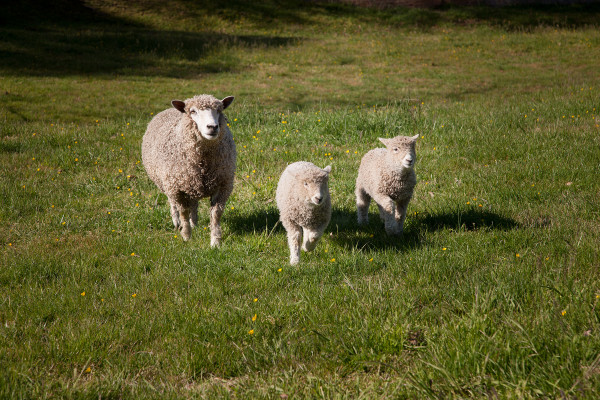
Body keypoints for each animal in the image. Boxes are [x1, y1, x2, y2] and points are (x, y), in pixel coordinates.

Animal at [143, 94, 237, 247]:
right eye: (193, 111)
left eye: (219, 110)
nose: (212, 127)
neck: (203, 162)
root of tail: (170, 109)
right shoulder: (177, 188)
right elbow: (183, 211)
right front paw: (186, 235)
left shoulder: (223, 185)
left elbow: (216, 214)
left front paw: (215, 241)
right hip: (170, 182)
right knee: (173, 204)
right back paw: (177, 223)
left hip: (191, 183)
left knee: (193, 203)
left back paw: (194, 223)